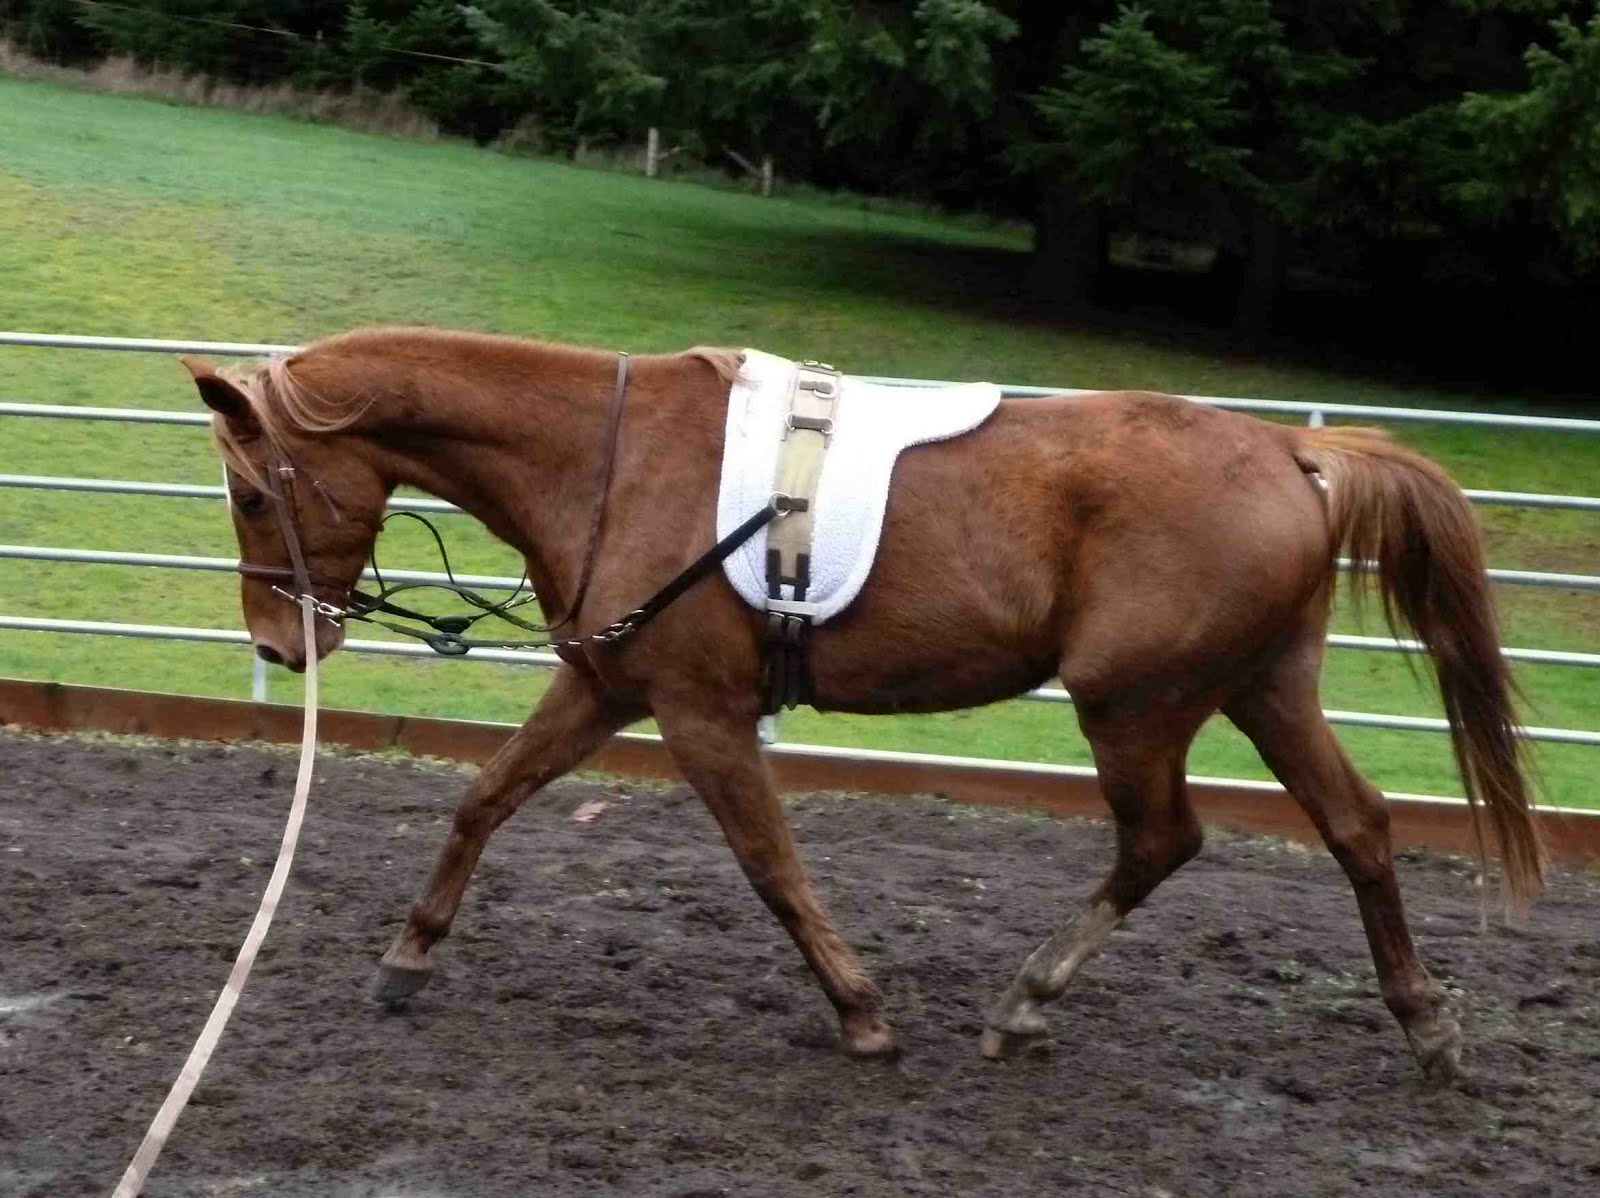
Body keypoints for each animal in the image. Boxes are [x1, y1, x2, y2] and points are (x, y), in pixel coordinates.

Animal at [181, 327, 1544, 1083]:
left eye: (250, 493)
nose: (278, 643)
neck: (606, 456)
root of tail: (1292, 453)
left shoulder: (700, 713)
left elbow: (771, 865)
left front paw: (862, 1014)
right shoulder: (607, 685)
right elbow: (482, 798)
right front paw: (407, 955)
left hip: (1134, 704)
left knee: (1165, 838)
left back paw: (1025, 1002)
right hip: (1263, 689)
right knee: (1358, 827)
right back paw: (1427, 1028)